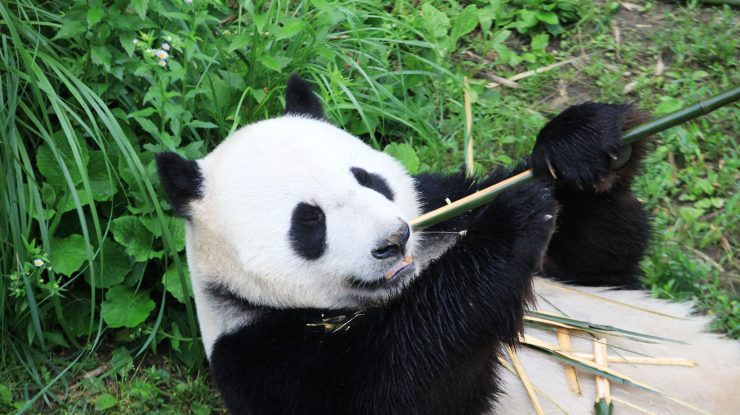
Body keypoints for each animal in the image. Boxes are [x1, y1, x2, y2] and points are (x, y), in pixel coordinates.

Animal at [156, 75, 739, 414]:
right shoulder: (266, 358)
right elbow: (404, 383)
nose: (393, 241)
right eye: (310, 223)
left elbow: (603, 261)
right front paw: (512, 218)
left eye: (368, 179)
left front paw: (580, 146)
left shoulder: (446, 203)